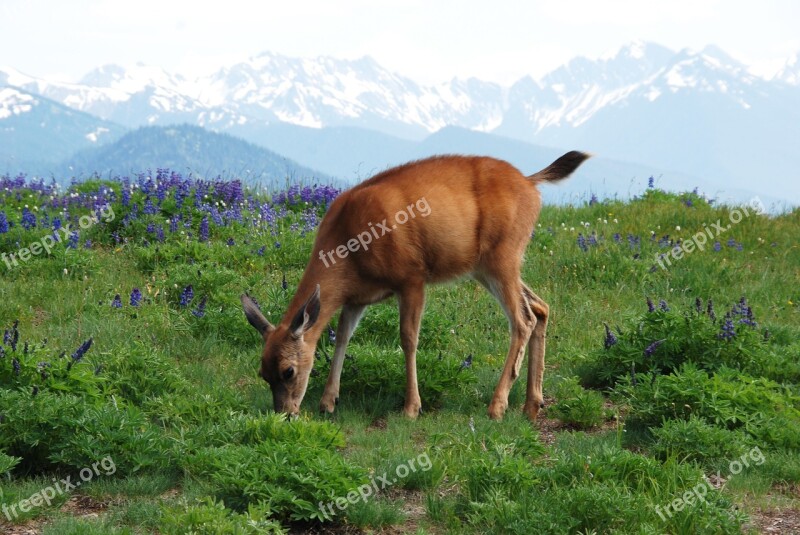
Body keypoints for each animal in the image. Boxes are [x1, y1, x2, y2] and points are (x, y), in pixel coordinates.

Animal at [241, 151, 592, 422]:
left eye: (288, 371)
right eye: (262, 372)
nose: (285, 414)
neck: (347, 251)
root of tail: (531, 182)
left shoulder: (411, 277)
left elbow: (408, 339)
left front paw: (411, 407)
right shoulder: (356, 297)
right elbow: (342, 337)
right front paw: (329, 401)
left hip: (503, 257)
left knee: (523, 319)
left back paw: (498, 406)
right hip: (485, 267)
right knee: (540, 306)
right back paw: (532, 405)